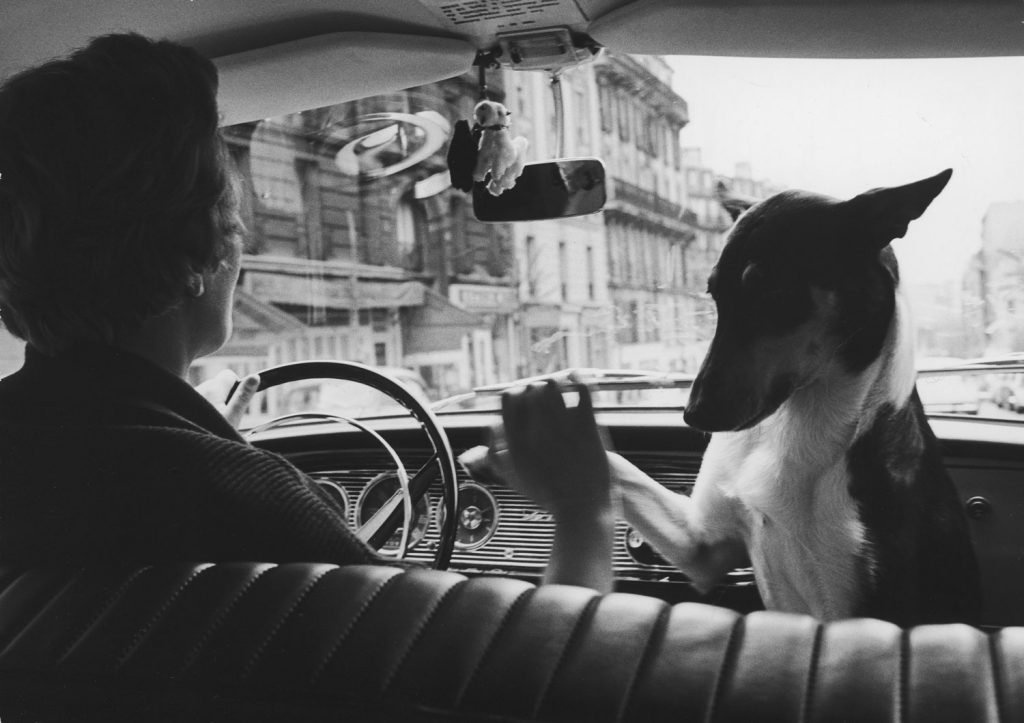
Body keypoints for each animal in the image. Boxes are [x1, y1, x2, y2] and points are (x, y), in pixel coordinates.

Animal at [606, 165, 983, 622]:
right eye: (714, 294)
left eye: (775, 294)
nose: (693, 415)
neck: (797, 421)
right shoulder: (701, 545)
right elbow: (620, 467)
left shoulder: (856, 614)